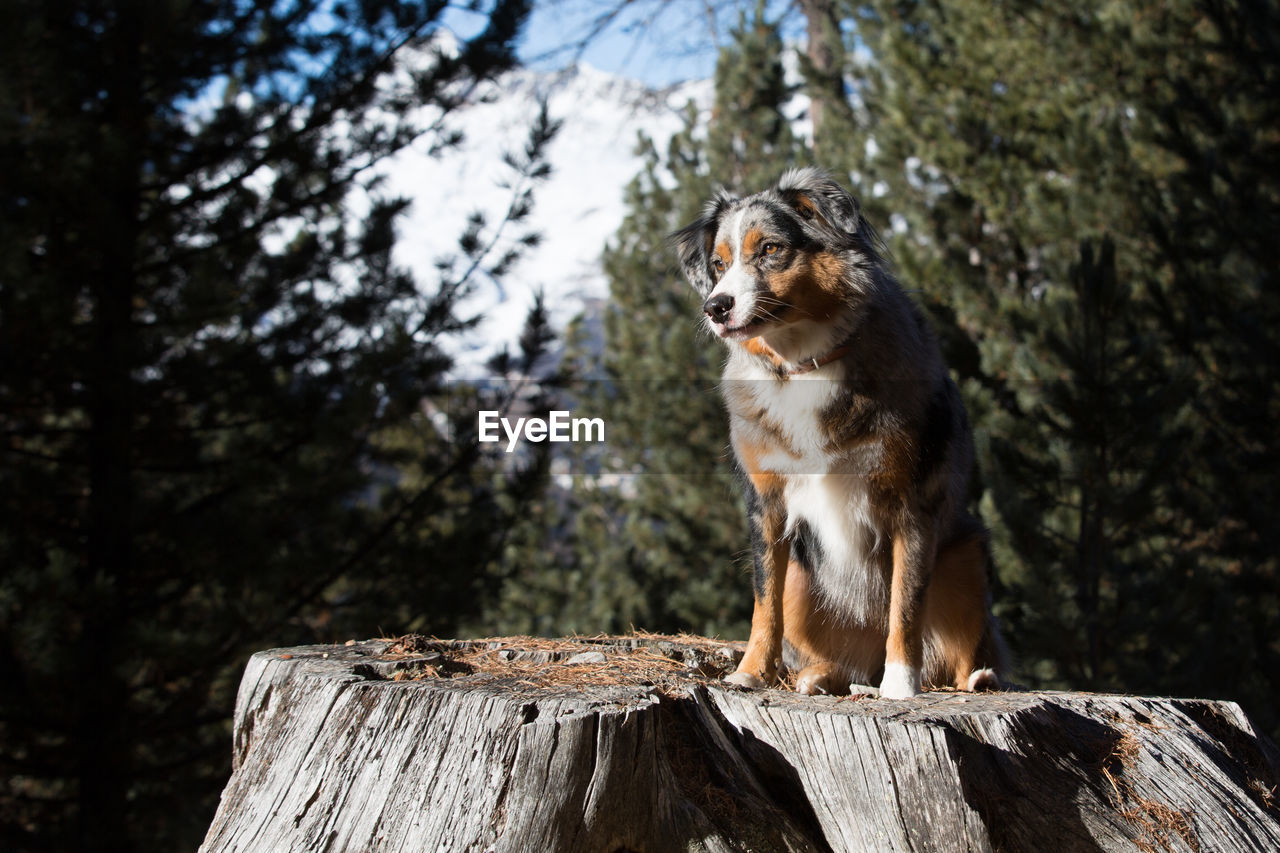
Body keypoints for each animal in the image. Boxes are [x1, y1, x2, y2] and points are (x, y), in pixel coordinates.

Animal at [670, 167, 1008, 696]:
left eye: (770, 249)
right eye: (719, 264)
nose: (716, 307)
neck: (804, 363)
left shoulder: (913, 501)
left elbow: (905, 605)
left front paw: (900, 685)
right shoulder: (766, 502)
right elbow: (763, 601)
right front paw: (751, 672)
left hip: (967, 554)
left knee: (953, 654)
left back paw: (974, 678)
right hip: (804, 581)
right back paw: (818, 675)